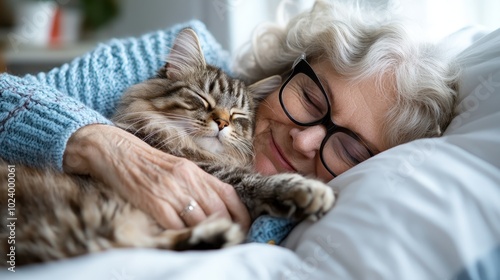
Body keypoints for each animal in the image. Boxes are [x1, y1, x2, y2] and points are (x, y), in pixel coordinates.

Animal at [0, 29, 336, 266]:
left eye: (238, 116)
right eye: (203, 100)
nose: (222, 123)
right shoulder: (212, 172)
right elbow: (260, 181)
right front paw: (309, 190)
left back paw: (215, 235)